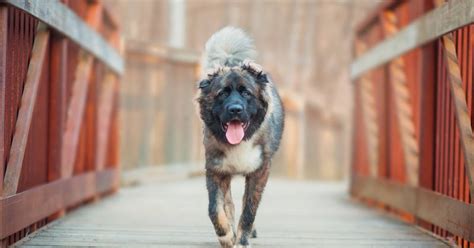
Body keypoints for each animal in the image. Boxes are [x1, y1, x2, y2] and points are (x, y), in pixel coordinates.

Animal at [197, 26, 286, 247]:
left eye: (246, 93)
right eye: (222, 93)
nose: (235, 110)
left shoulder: (259, 172)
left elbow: (249, 210)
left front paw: (242, 239)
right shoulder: (216, 170)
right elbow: (215, 208)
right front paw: (226, 235)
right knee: (229, 204)